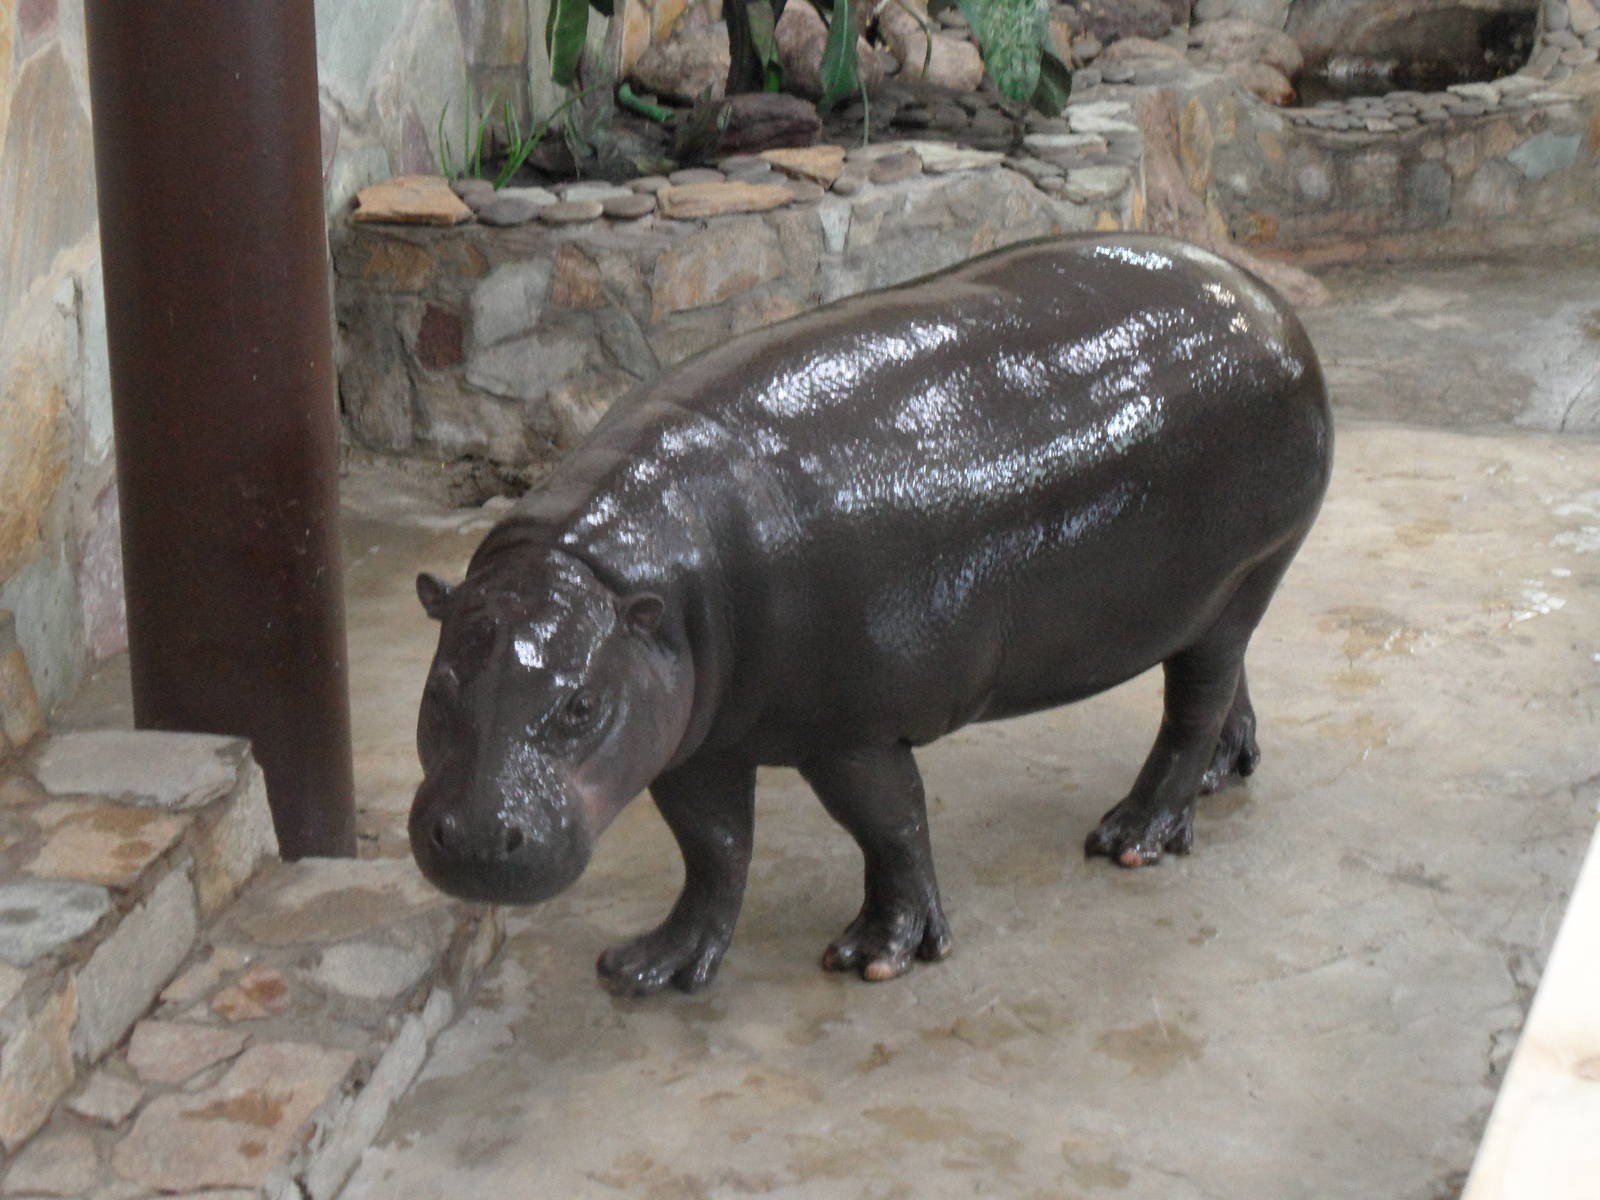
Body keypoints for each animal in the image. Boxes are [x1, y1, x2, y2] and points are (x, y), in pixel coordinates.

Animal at [410, 233, 1333, 996]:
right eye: (441, 688)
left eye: (580, 706)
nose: (479, 838)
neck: (613, 569)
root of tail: (1264, 298)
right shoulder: (690, 737)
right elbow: (713, 848)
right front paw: (652, 967)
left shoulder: (853, 729)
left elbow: (889, 826)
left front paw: (879, 957)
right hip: (1216, 595)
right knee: (1225, 677)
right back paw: (1223, 774)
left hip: (1250, 566)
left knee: (1192, 704)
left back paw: (1133, 837)